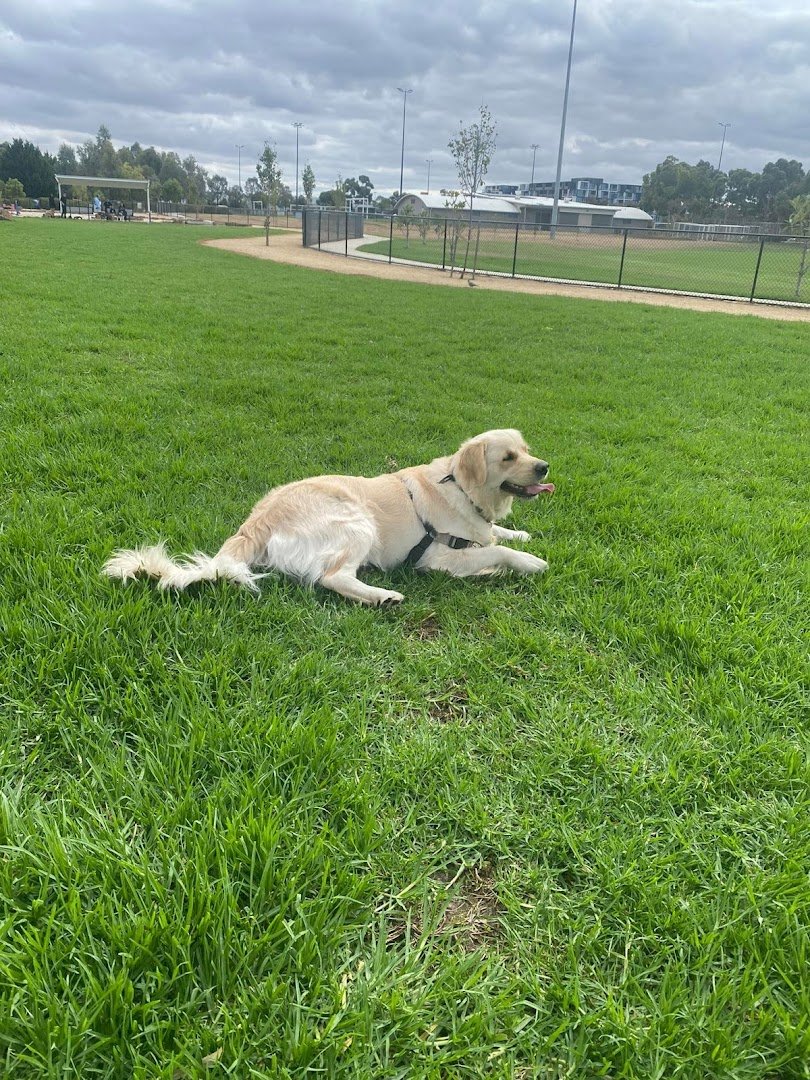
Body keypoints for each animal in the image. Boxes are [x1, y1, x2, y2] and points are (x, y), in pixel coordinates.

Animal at [102, 429, 554, 606]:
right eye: (508, 458)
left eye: (526, 450)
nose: (545, 467)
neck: (461, 487)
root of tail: (257, 520)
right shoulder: (439, 555)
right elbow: (491, 551)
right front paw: (527, 562)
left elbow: (497, 536)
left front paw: (519, 536)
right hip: (356, 522)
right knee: (332, 578)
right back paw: (383, 596)